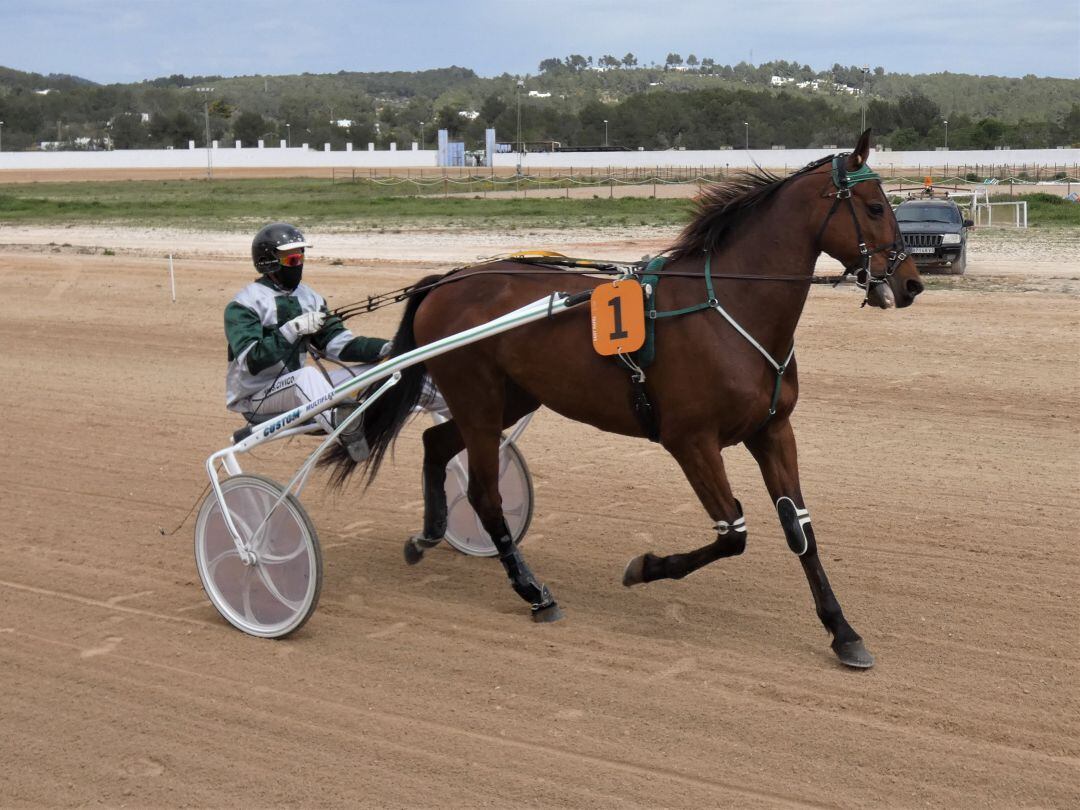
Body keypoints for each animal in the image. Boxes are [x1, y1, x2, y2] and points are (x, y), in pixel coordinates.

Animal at [324, 130, 924, 669]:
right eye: (876, 207)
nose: (912, 283)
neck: (731, 309)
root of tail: (447, 279)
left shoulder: (772, 430)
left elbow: (800, 530)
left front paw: (843, 632)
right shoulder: (691, 441)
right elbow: (733, 534)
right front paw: (644, 567)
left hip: (506, 401)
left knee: (433, 442)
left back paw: (427, 535)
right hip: (478, 400)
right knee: (485, 494)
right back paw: (534, 592)